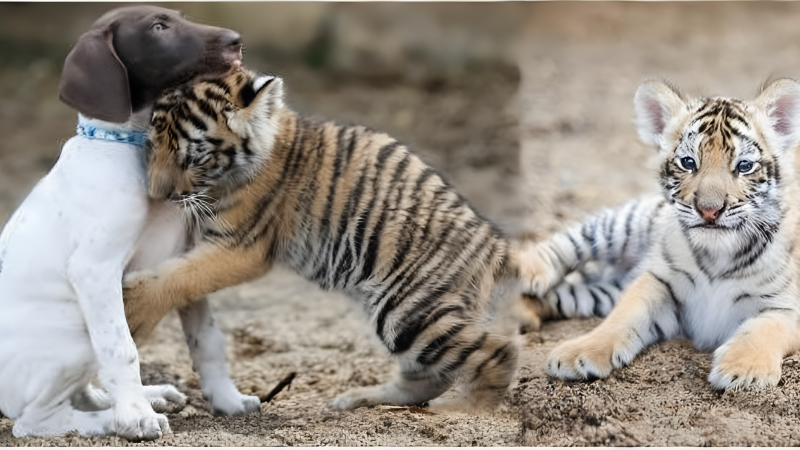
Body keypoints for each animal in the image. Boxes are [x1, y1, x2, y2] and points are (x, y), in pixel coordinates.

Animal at [0, 6, 256, 440]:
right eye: (158, 27)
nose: (236, 41)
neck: (132, 147)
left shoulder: (183, 262)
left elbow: (207, 339)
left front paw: (228, 399)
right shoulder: (95, 270)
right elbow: (121, 349)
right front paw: (136, 416)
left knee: (81, 391)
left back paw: (137, 397)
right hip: (76, 333)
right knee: (35, 421)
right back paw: (113, 418)